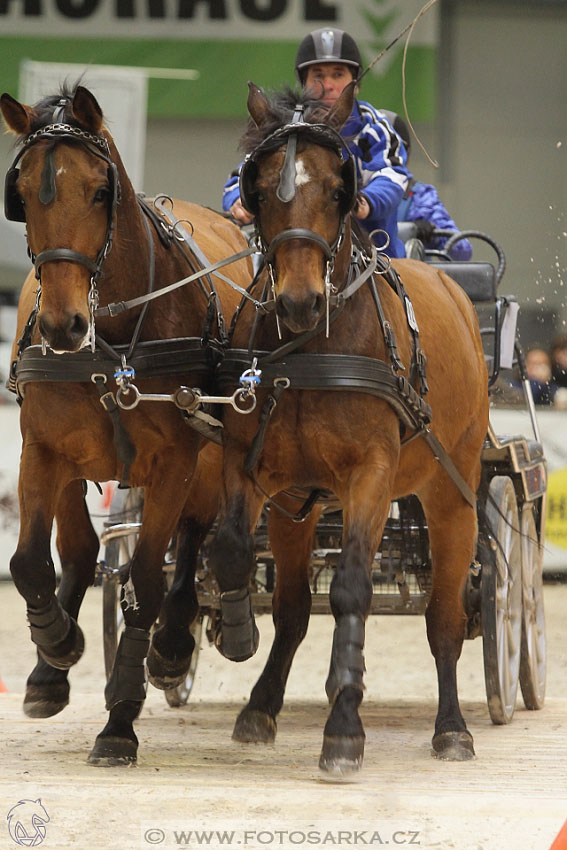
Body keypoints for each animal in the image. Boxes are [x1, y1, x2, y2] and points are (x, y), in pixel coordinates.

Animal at [0, 84, 262, 760]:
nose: (62, 324)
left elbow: (145, 576)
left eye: (99, 191)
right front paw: (56, 646)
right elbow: (35, 561)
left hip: (212, 453)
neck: (113, 337)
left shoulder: (175, 460)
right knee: (83, 547)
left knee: (198, 540)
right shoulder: (43, 449)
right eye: (22, 194)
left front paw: (120, 717)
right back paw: (53, 667)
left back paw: (173, 645)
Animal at [207, 84, 488, 776]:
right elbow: (238, 556)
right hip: (304, 509)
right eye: (257, 188)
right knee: (293, 608)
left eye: (340, 187)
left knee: (445, 618)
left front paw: (344, 723)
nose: (299, 301)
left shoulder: (371, 478)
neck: (312, 347)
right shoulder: (260, 472)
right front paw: (238, 636)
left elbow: (353, 590)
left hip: (453, 494)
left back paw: (452, 728)